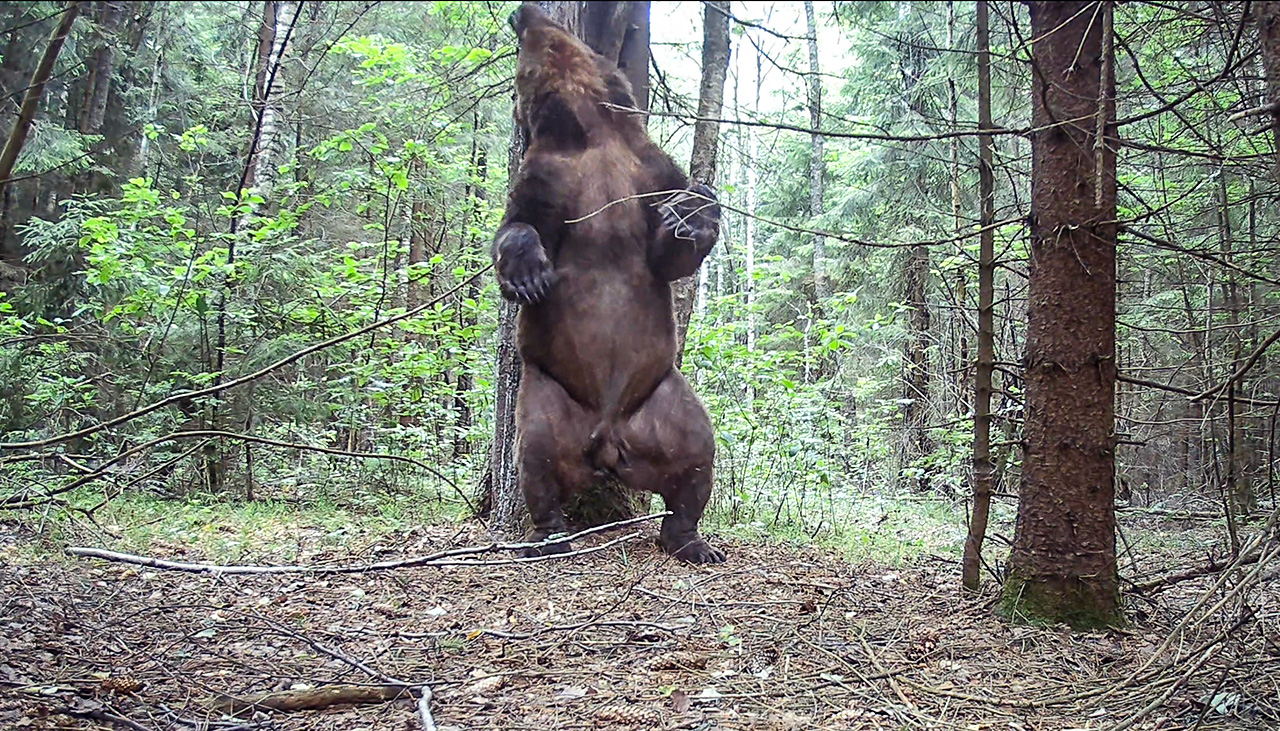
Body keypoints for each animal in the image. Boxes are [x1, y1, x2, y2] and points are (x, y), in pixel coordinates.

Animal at [494, 2, 727, 565]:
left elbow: (670, 252)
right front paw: (529, 275)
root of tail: (607, 439)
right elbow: (518, 224)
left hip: (663, 400)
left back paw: (692, 542)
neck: (591, 130)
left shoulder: (648, 169)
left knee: (697, 455)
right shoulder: (547, 176)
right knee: (535, 457)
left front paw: (695, 213)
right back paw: (548, 537)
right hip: (550, 394)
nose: (522, 12)